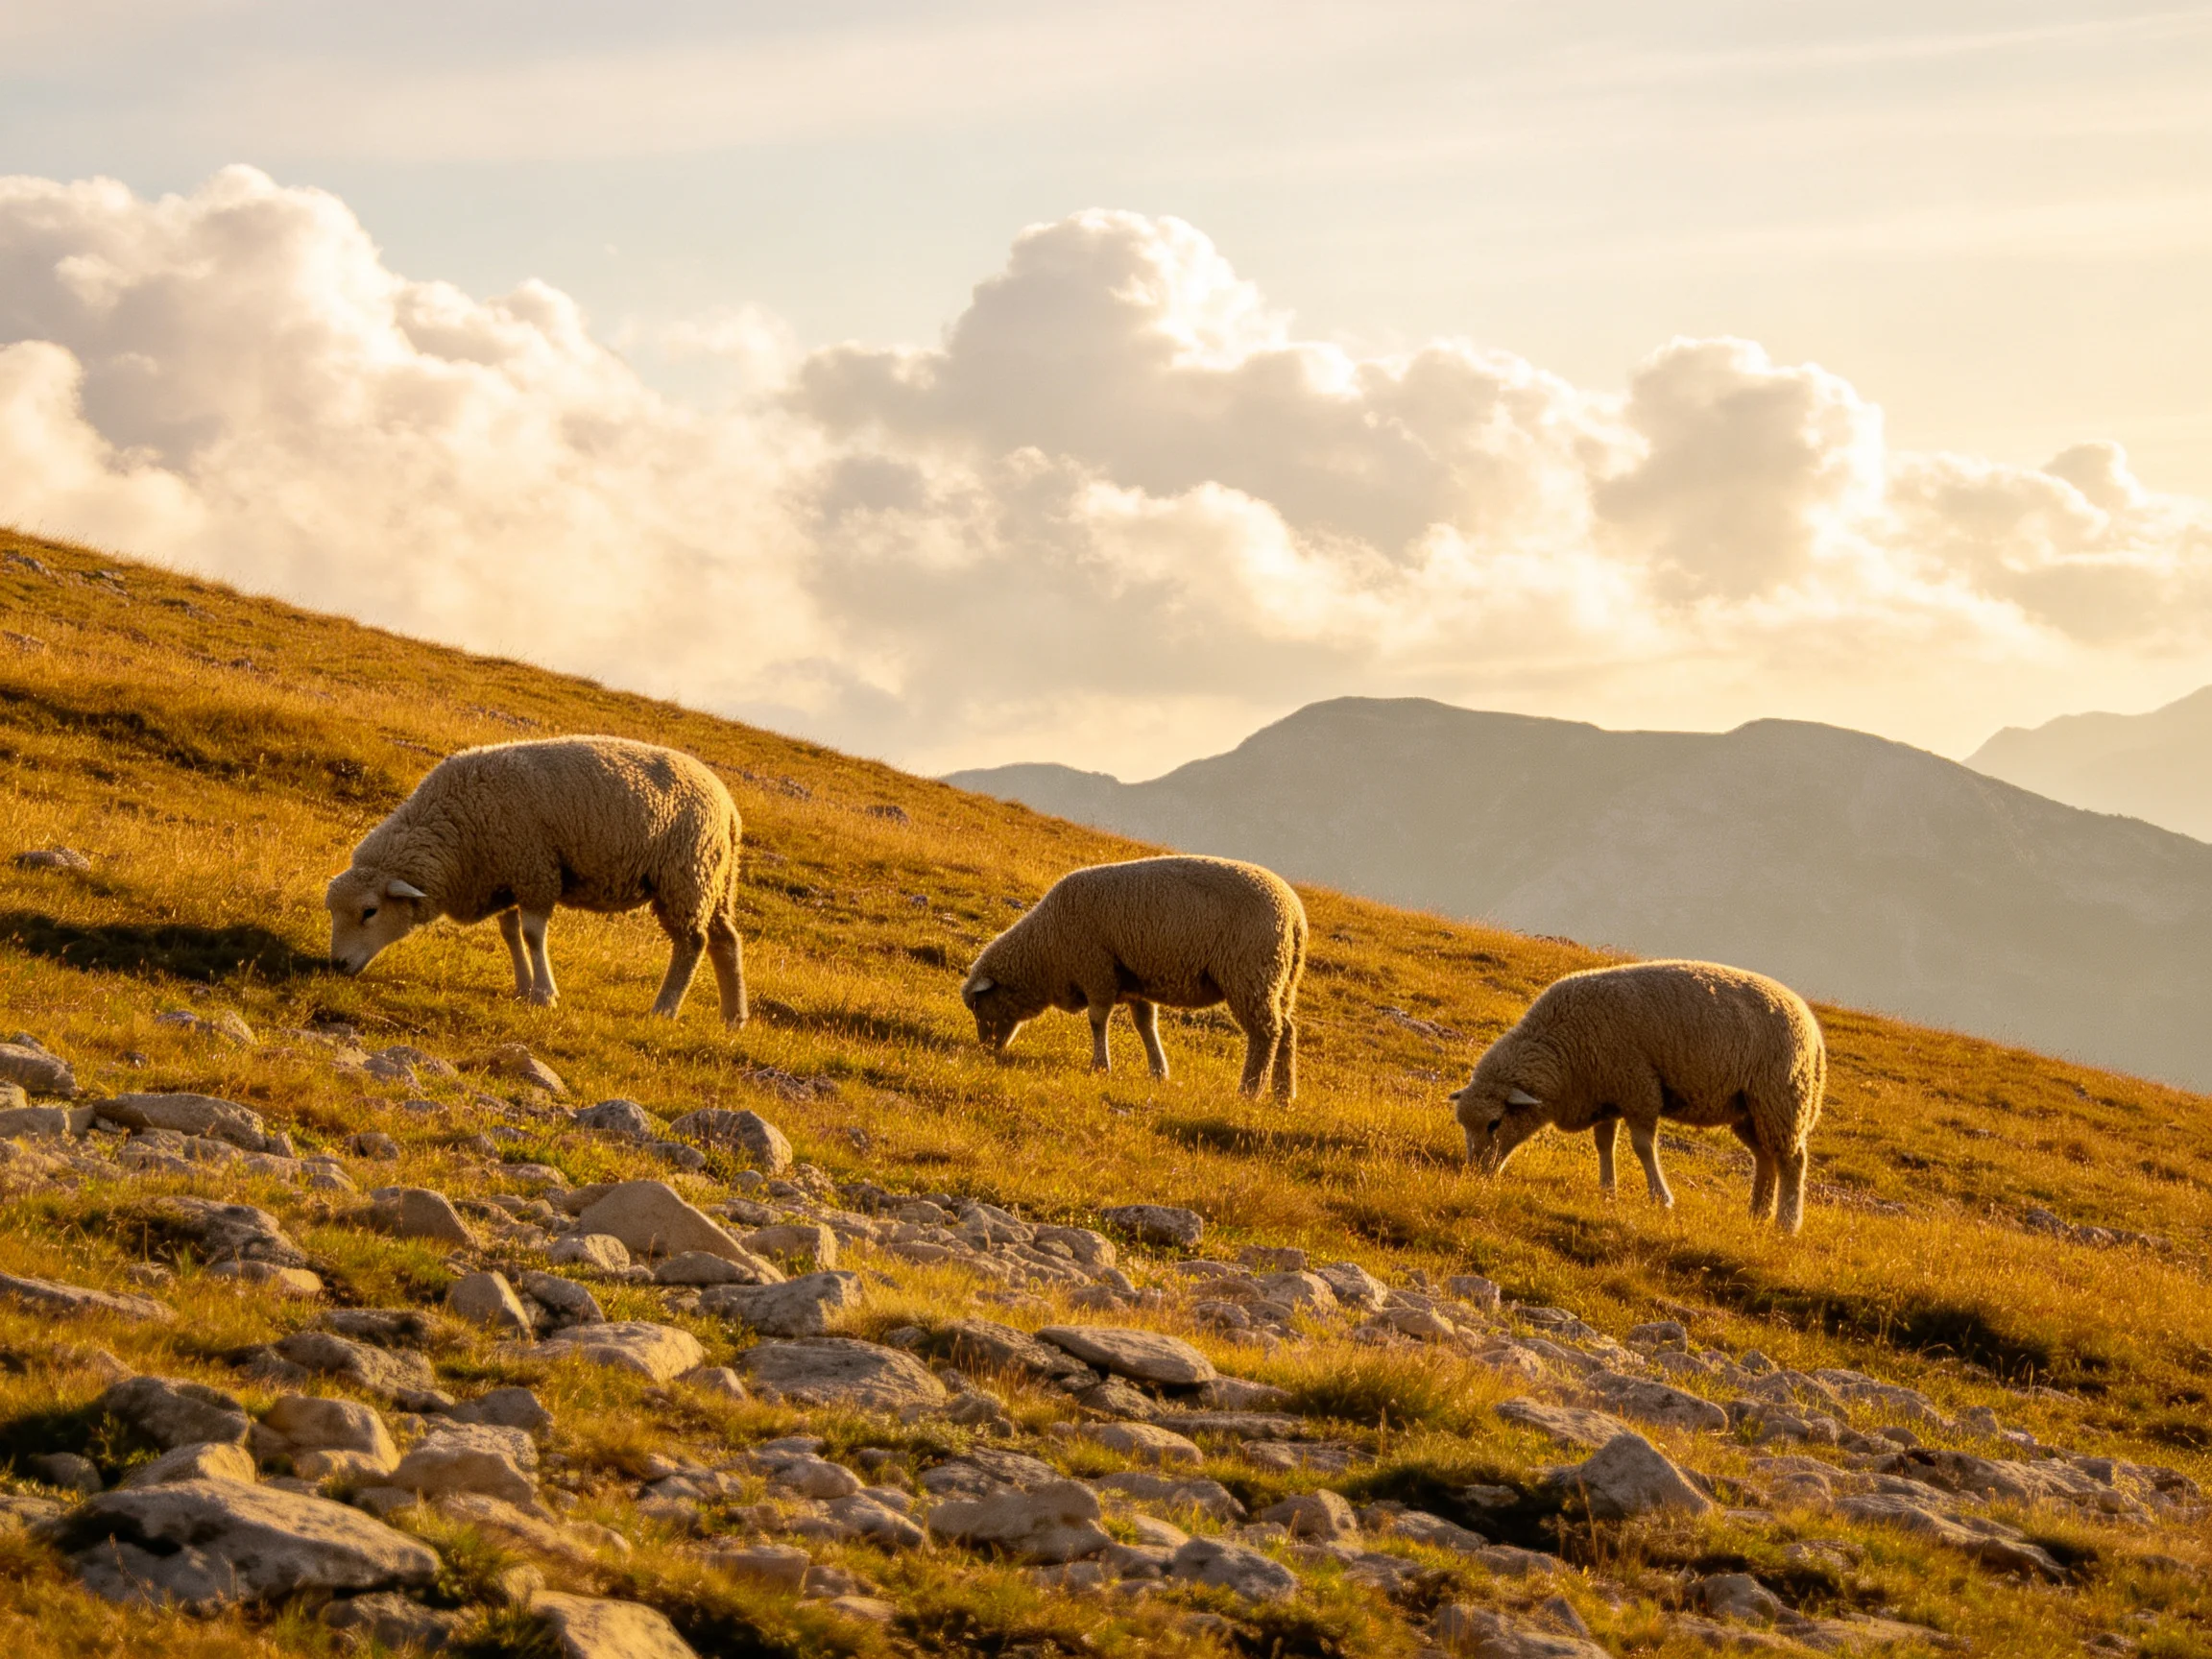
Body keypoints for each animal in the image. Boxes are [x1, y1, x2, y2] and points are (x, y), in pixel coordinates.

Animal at [326, 735, 747, 1027]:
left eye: (369, 911)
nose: (337, 965)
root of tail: (728, 806)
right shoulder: (508, 877)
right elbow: (510, 932)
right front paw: (523, 987)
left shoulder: (535, 869)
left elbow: (531, 934)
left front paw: (544, 994)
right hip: (716, 879)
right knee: (726, 940)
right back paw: (734, 1016)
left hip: (686, 875)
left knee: (692, 943)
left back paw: (665, 1008)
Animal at [960, 855, 1307, 1099]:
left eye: (979, 1005)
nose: (986, 1048)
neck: (1046, 949)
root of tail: (1294, 917)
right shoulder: (1134, 981)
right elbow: (1145, 1024)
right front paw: (1158, 1071)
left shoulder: (1097, 971)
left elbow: (1097, 1020)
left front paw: (1100, 1066)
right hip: (1280, 980)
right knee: (1287, 1030)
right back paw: (1282, 1095)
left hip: (1249, 974)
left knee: (1266, 1033)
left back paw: (1250, 1091)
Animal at [1449, 959, 1825, 1232]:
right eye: (1464, 1126)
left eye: (1495, 1123)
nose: (1475, 1172)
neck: (1561, 1049)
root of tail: (1811, 1025)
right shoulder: (1606, 1095)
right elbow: (1604, 1144)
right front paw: (1607, 1191)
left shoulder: (1639, 1089)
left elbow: (1643, 1147)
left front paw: (1661, 1198)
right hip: (1748, 1109)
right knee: (1766, 1158)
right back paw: (1757, 1213)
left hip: (1781, 1099)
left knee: (1792, 1161)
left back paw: (1786, 1223)